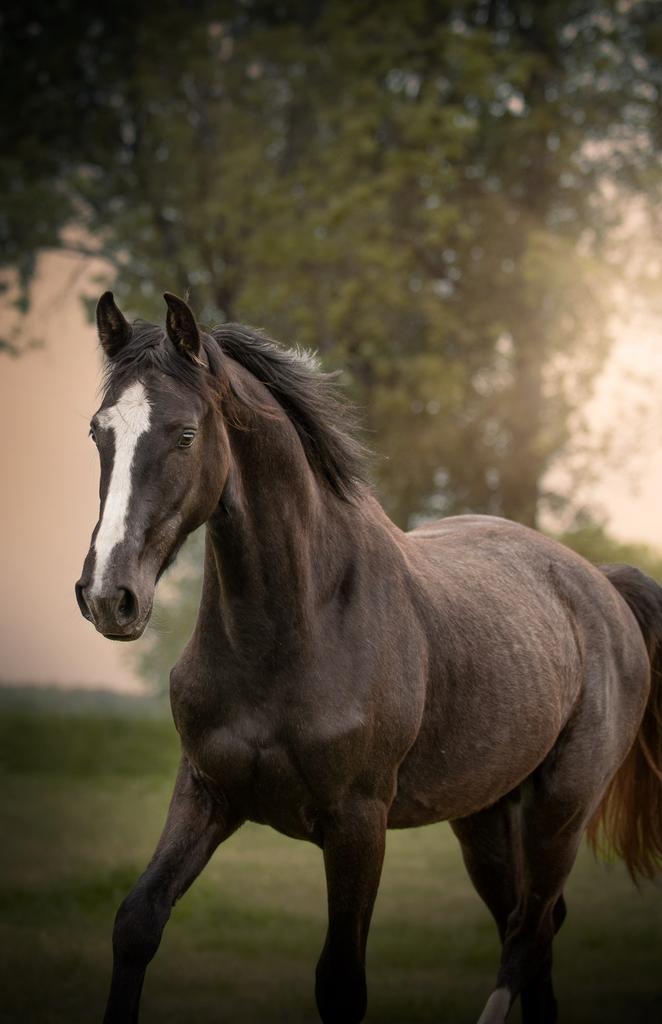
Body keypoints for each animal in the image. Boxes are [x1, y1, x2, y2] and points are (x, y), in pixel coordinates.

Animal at [76, 291, 662, 1024]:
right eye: (98, 432)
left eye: (184, 434)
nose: (108, 597)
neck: (297, 630)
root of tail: (602, 586)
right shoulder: (206, 792)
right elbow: (137, 923)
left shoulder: (358, 825)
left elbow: (341, 983)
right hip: (485, 816)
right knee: (534, 930)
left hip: (561, 809)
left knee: (527, 932)